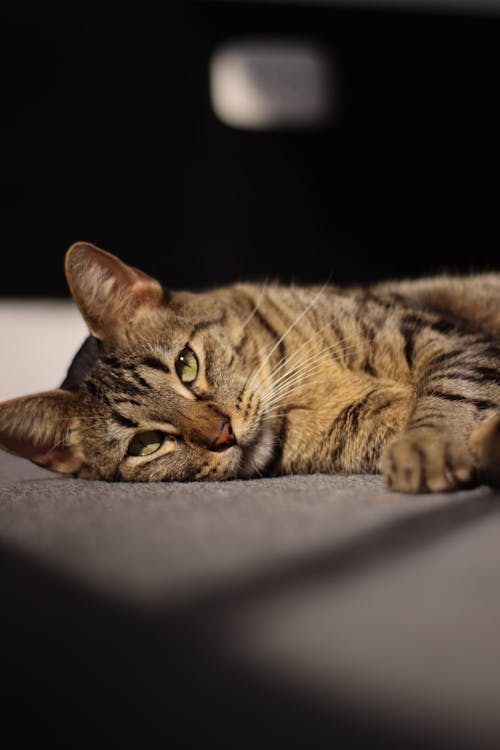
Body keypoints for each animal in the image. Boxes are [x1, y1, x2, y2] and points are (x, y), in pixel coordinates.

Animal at [0, 241, 500, 494]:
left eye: (186, 365)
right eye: (146, 444)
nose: (222, 433)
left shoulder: (445, 337)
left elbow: (446, 389)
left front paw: (427, 444)